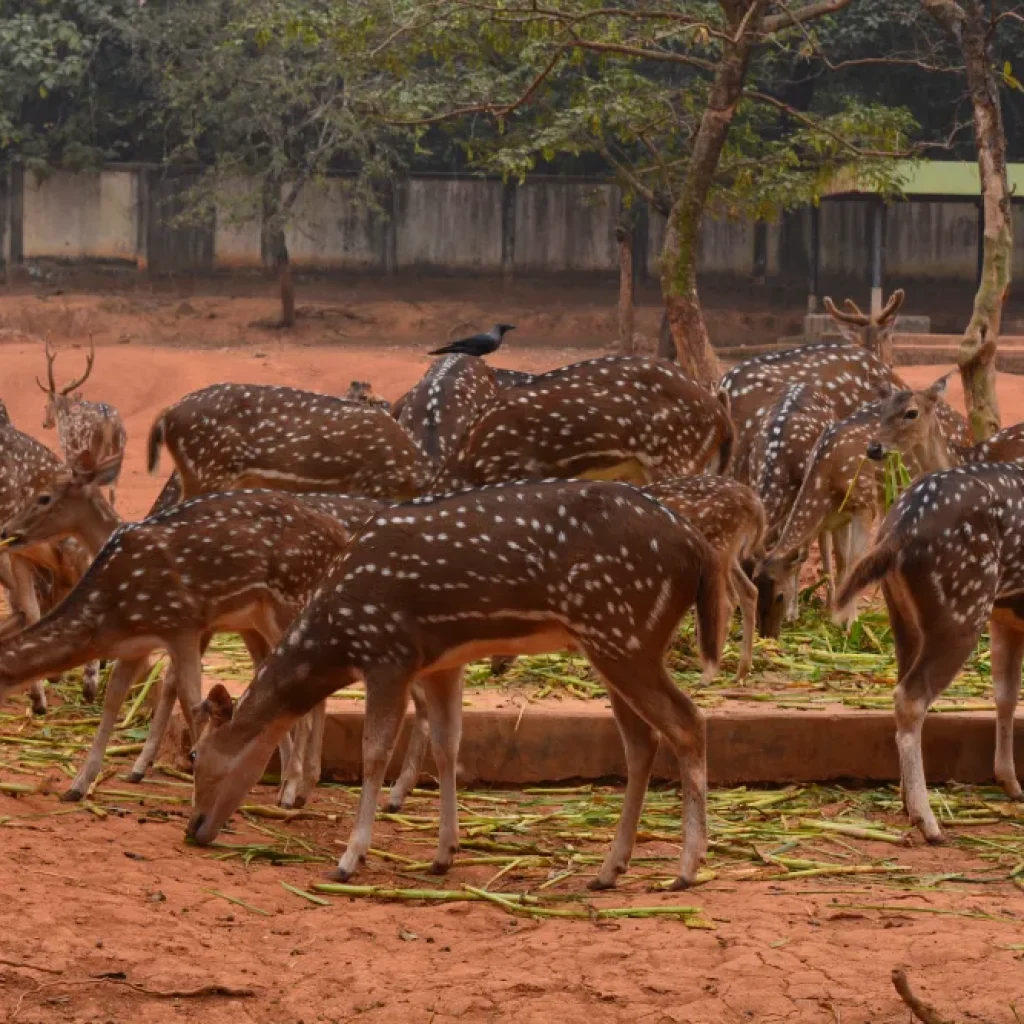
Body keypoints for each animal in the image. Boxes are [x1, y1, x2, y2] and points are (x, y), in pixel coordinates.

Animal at [36, 339, 124, 507]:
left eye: (45, 405)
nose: (44, 423)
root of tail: (107, 419)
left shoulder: (68, 451)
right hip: (119, 447)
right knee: (113, 487)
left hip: (95, 448)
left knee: (97, 485)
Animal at [186, 479, 729, 888]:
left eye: (193, 756)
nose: (194, 828)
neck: (338, 636)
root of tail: (700, 551)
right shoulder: (441, 664)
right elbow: (448, 745)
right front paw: (444, 853)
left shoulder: (388, 653)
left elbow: (374, 753)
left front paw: (348, 860)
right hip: (616, 643)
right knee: (642, 741)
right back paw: (608, 870)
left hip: (623, 632)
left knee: (687, 721)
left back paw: (686, 868)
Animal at [835, 462, 1024, 839]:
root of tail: (898, 533)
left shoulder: (1006, 617)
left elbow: (1005, 694)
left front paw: (1010, 782)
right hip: (963, 609)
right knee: (910, 696)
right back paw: (929, 822)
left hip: (903, 617)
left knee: (902, 689)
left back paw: (907, 802)